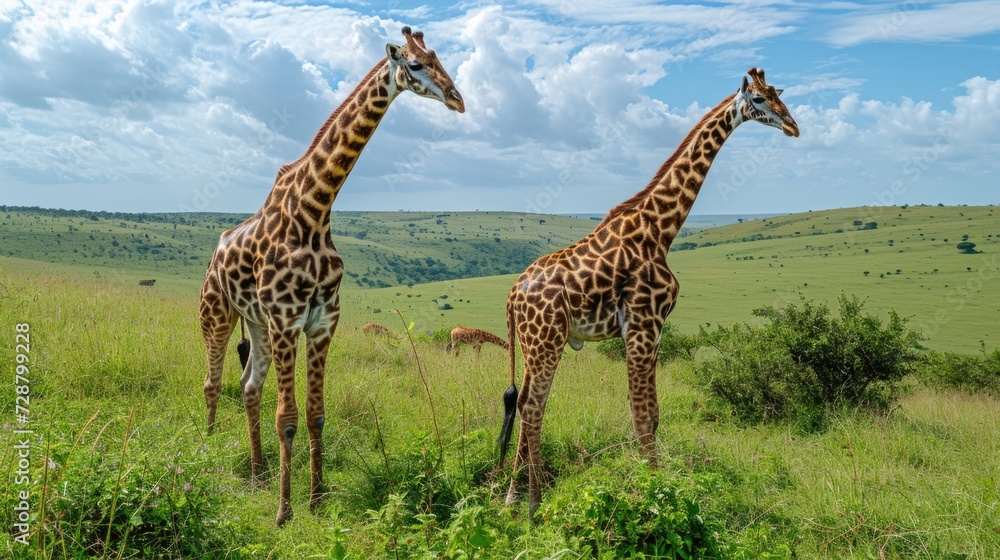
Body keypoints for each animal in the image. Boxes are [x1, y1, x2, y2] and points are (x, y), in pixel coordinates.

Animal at [200, 27, 464, 527]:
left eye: (440, 58)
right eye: (414, 64)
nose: (458, 100)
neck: (315, 210)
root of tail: (216, 250)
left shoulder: (322, 321)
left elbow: (315, 414)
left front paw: (317, 499)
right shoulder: (287, 319)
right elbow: (287, 418)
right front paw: (284, 513)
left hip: (257, 324)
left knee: (248, 387)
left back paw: (258, 473)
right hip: (217, 315)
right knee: (212, 382)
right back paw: (207, 452)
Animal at [499, 68, 798, 517]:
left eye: (778, 94)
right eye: (760, 100)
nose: (794, 127)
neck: (661, 229)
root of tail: (513, 295)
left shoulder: (651, 330)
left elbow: (652, 415)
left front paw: (654, 485)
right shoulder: (644, 323)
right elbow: (644, 417)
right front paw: (655, 494)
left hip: (536, 344)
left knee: (527, 405)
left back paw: (512, 501)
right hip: (547, 340)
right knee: (533, 408)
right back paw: (535, 507)